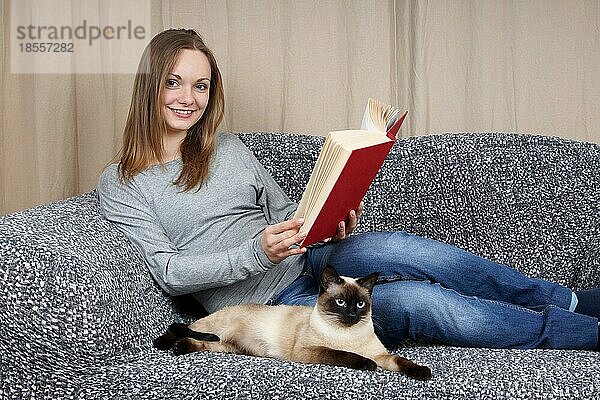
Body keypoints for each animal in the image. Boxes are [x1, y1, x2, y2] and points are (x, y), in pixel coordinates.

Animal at [156, 266, 432, 382]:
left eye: (361, 304)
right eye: (341, 302)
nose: (352, 315)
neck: (346, 335)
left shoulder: (382, 355)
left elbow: (402, 361)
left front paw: (422, 373)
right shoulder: (309, 352)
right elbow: (342, 355)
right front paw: (366, 365)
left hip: (229, 347)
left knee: (199, 342)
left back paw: (181, 348)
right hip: (219, 329)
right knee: (180, 329)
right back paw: (173, 345)